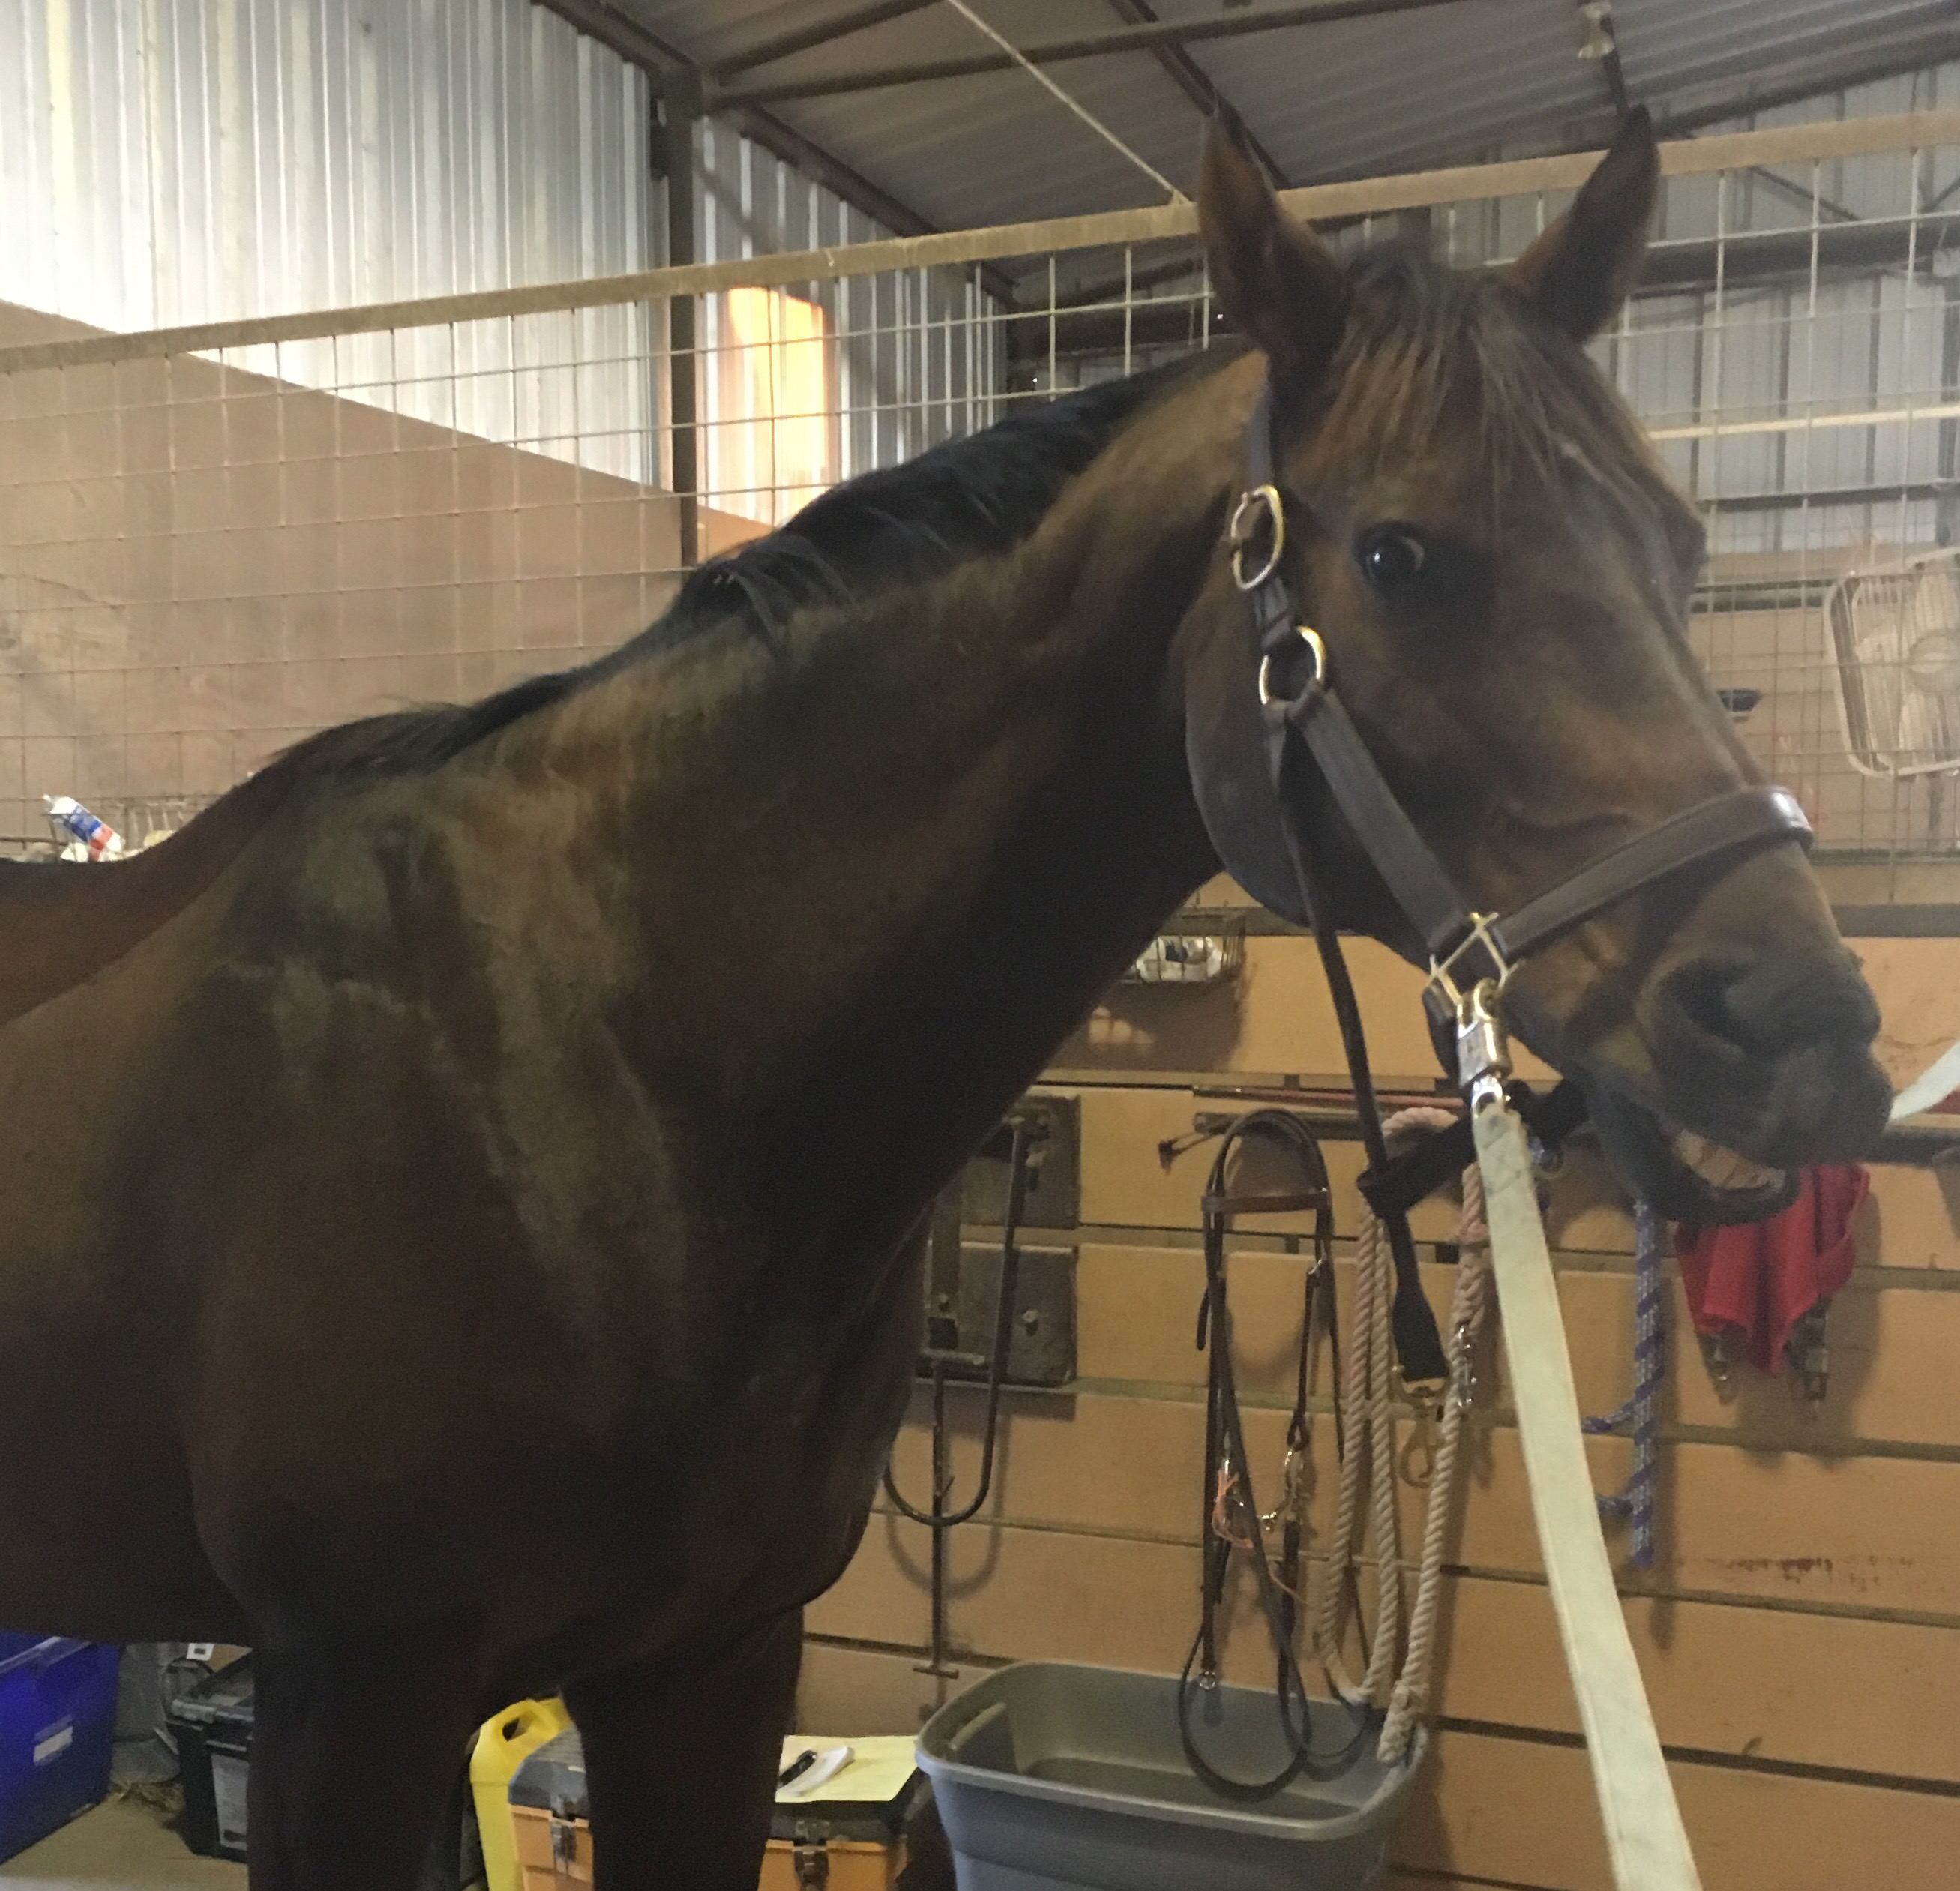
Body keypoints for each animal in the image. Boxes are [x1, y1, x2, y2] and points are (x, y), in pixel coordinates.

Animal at [0, 111, 1887, 1888]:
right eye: (1401, 555)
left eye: (1682, 542)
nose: (1805, 1031)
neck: (587, 1061)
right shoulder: (353, 1692)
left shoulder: (709, 1662)